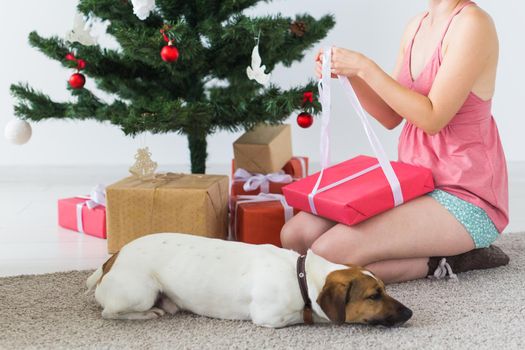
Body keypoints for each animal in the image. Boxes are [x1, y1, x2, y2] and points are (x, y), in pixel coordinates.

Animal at [87, 232, 414, 328]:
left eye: (384, 289)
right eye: (374, 296)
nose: (410, 312)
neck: (301, 276)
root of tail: (111, 261)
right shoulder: (270, 317)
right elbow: (304, 316)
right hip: (140, 293)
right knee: (110, 312)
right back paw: (146, 314)